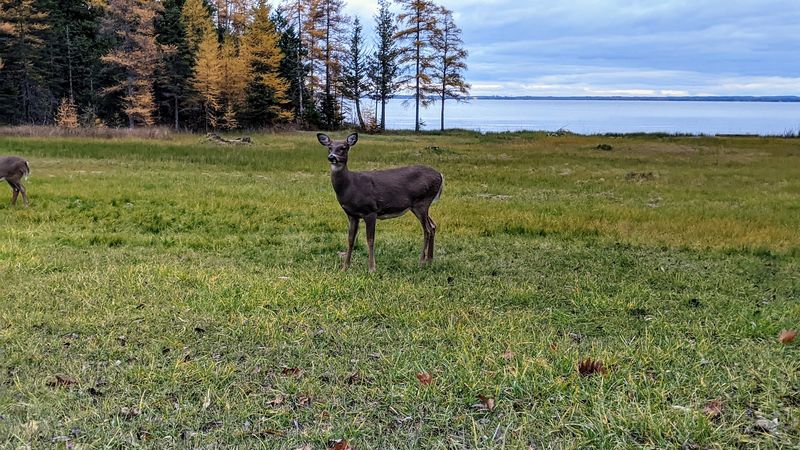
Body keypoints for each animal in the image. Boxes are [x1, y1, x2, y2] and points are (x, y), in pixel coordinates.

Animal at [317, 133, 443, 273]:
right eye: (329, 147)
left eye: (343, 148)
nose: (331, 157)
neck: (351, 185)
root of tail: (440, 176)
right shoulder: (352, 214)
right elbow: (350, 239)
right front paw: (345, 267)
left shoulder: (370, 210)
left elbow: (370, 239)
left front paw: (372, 268)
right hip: (419, 205)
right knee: (433, 225)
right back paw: (430, 261)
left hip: (421, 201)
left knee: (427, 229)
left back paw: (421, 263)